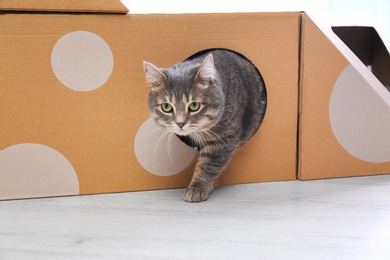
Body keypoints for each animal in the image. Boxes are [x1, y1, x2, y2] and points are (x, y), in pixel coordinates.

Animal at [145, 49, 266, 203]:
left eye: (194, 106)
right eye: (166, 107)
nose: (180, 123)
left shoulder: (224, 137)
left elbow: (208, 164)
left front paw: (197, 188)